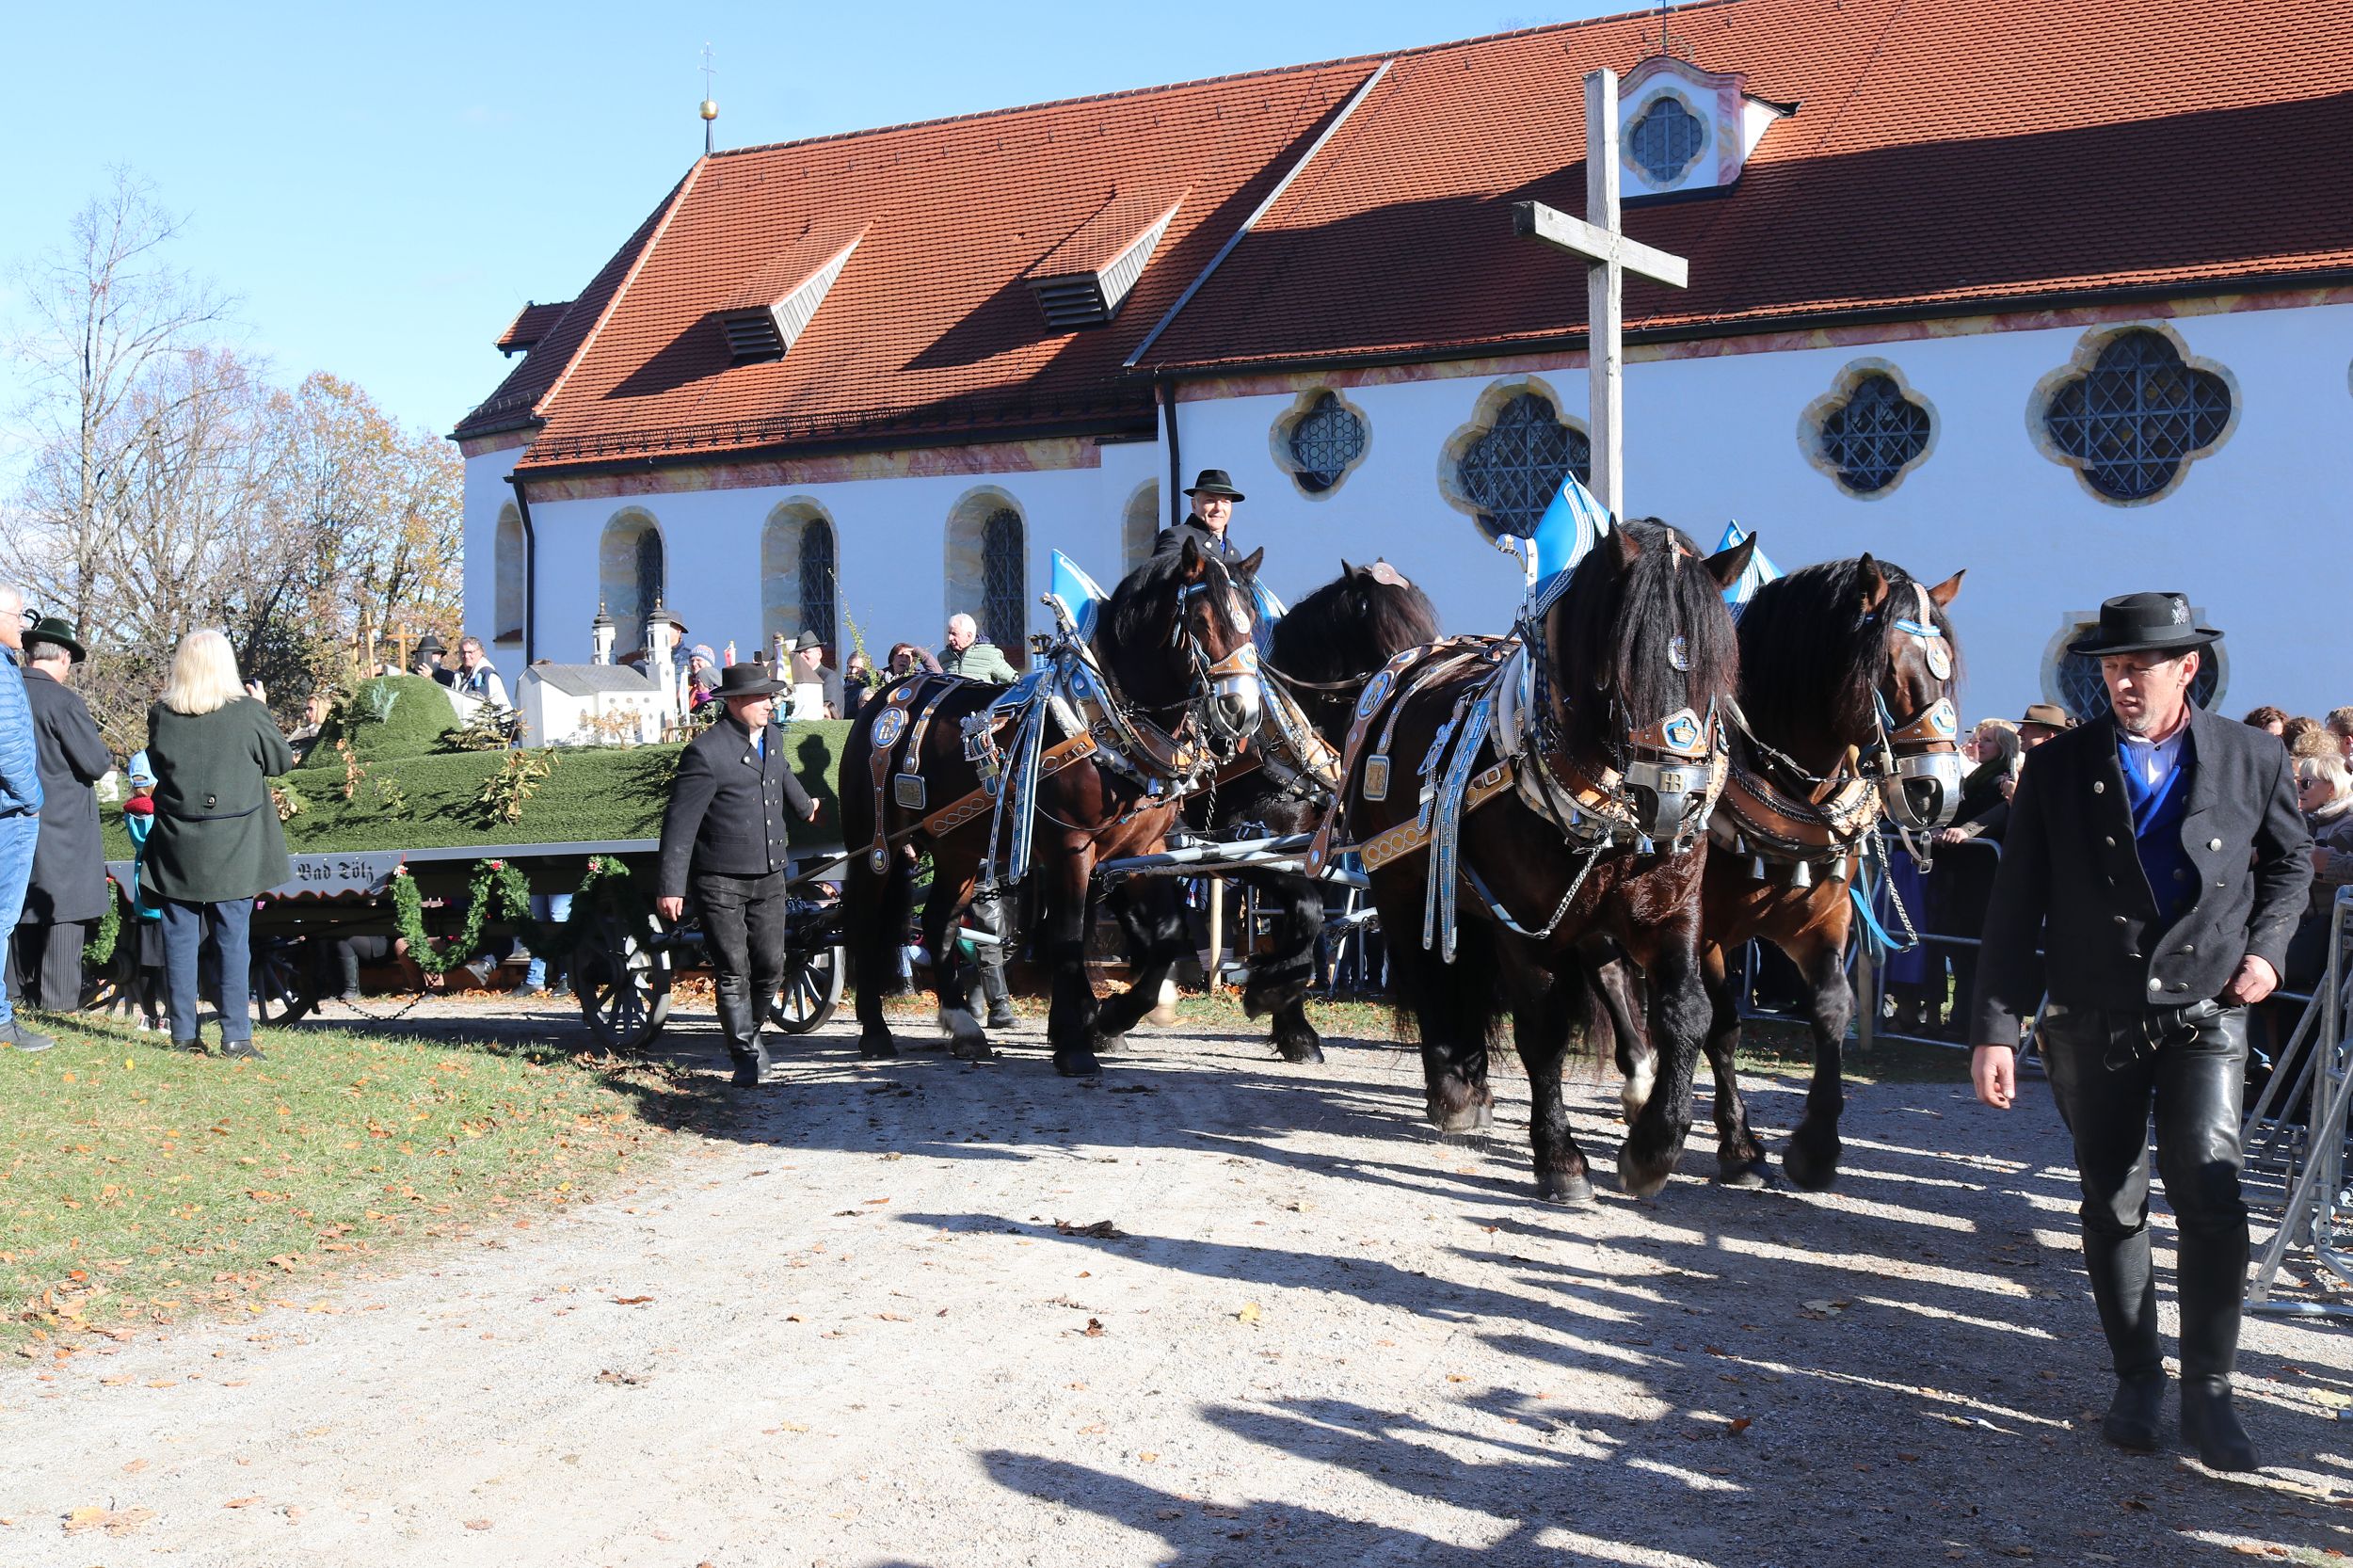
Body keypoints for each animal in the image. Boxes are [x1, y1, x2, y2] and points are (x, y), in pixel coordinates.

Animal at [839, 538, 1265, 1077]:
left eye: (1253, 619)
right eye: (1203, 620)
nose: (1242, 711)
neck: (1103, 723)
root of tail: (889, 695)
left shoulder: (1141, 849)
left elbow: (1167, 938)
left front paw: (1111, 1017)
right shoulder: (1069, 847)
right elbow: (1066, 936)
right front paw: (1076, 1041)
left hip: (959, 848)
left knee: (938, 922)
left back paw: (964, 1026)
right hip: (874, 842)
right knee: (864, 920)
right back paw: (875, 1031)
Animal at [1173, 560, 1441, 1064]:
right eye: (1374, 614)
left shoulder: (1299, 851)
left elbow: (1302, 922)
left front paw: (1292, 1028)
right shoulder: (1242, 845)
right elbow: (1306, 917)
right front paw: (1273, 1000)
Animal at [1326, 520, 1754, 1202]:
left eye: (1714, 671)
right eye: (1621, 665)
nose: (1671, 798)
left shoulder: (1672, 912)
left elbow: (1689, 1013)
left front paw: (1654, 1147)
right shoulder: (1521, 925)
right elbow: (1543, 1030)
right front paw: (1560, 1159)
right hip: (1400, 885)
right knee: (1425, 971)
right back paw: (1453, 1090)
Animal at [1597, 555, 1963, 1189]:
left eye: (1947, 672)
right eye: (1888, 667)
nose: (1936, 790)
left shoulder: (1822, 923)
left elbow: (1833, 1007)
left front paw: (1816, 1146)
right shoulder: (1705, 933)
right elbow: (1722, 1025)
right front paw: (1738, 1144)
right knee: (1612, 977)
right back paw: (1640, 1084)